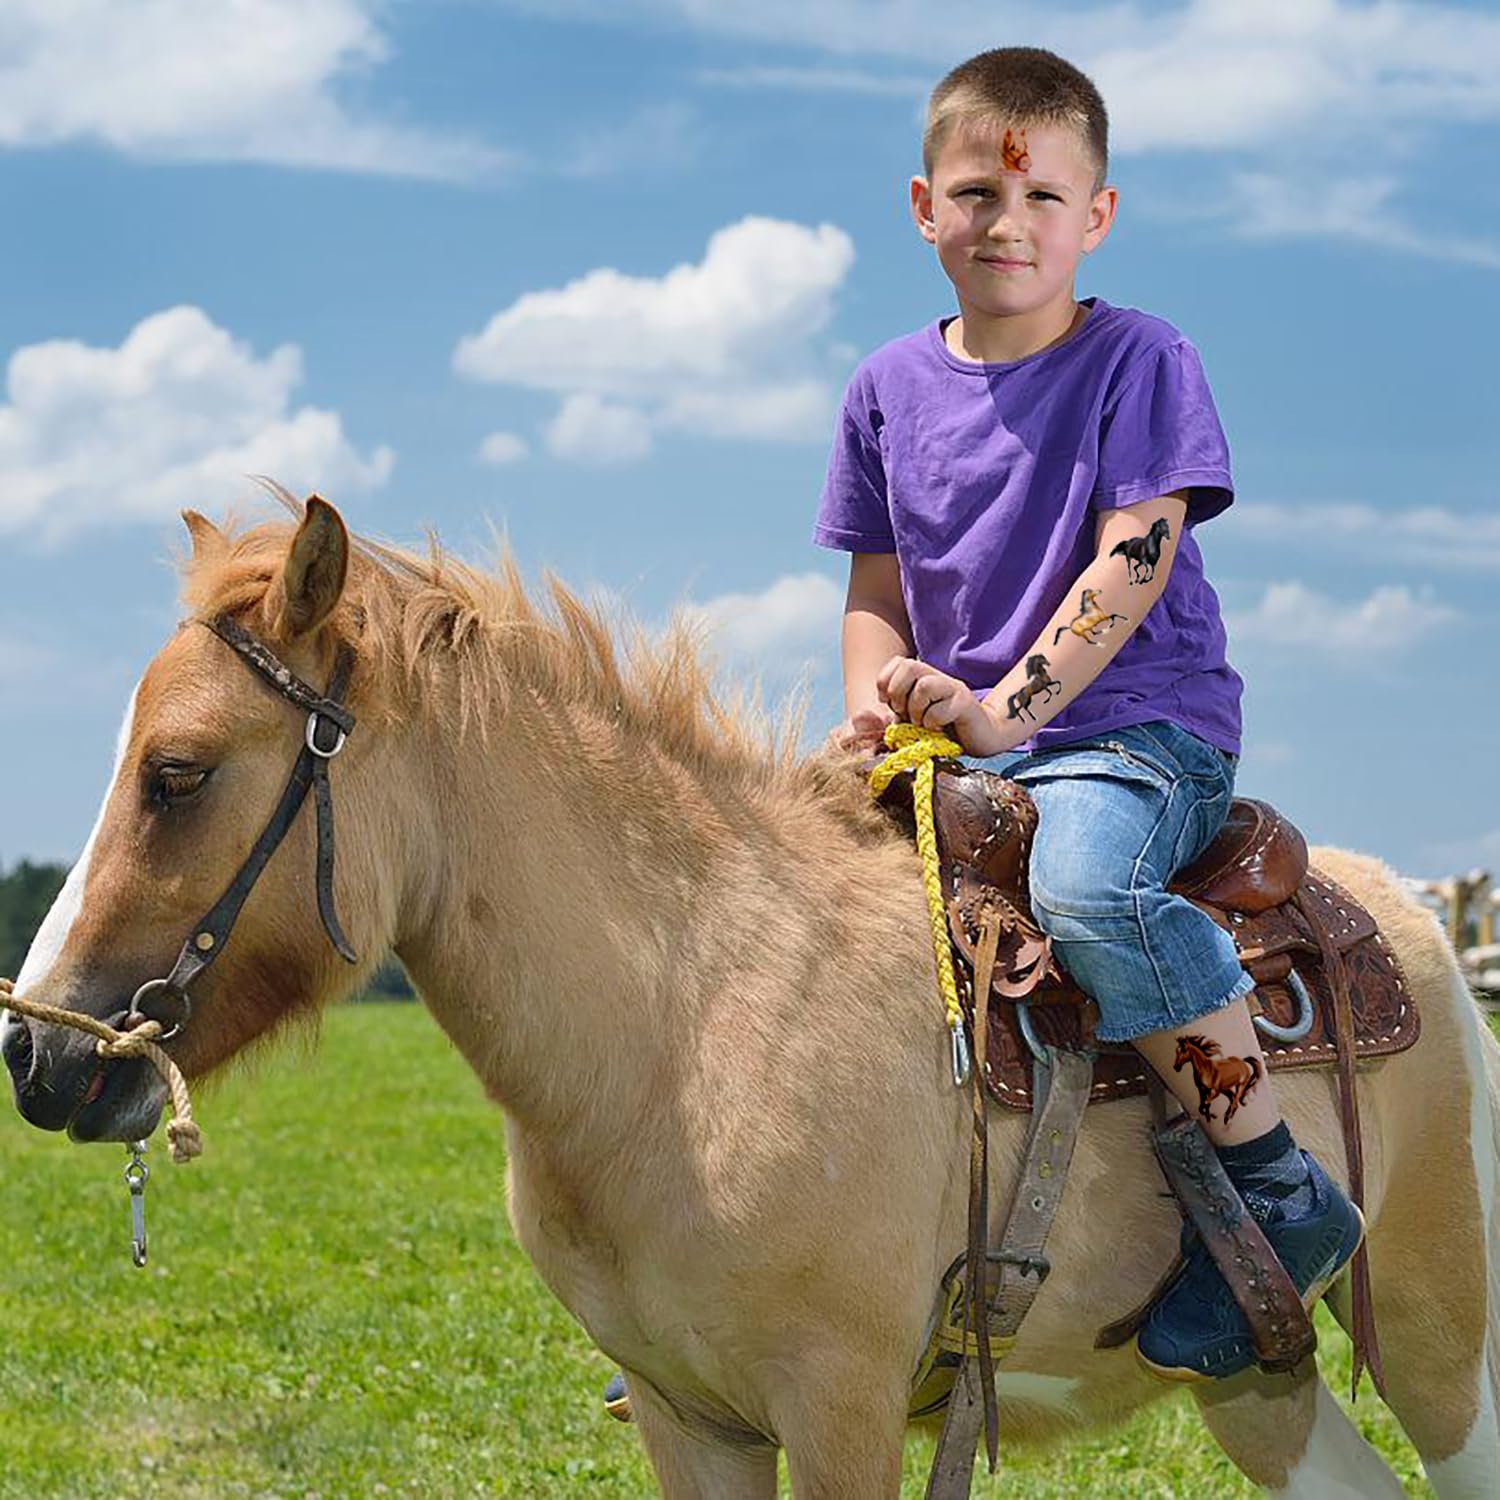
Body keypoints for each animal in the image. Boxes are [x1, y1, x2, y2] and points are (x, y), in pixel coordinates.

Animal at [4, 493, 1498, 1498]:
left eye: (180, 774)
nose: (36, 1054)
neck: (691, 1015)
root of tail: (1412, 914)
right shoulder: (693, 1422)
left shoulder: (839, 1414)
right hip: (1259, 1382)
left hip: (1442, 1353)